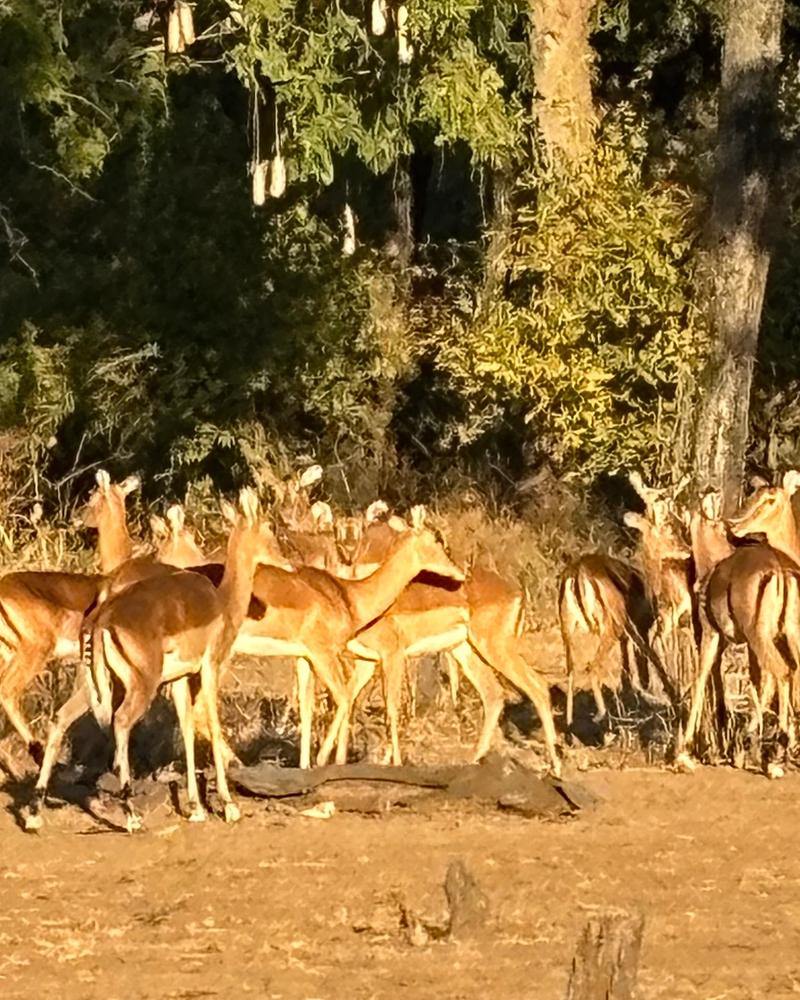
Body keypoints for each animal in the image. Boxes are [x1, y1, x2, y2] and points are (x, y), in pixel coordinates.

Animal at [676, 471, 800, 777]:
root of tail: (781, 571)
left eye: (770, 499)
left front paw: (684, 754)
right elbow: (757, 684)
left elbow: (701, 678)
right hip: (787, 635)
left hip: (761, 637)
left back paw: (777, 755)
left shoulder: (711, 634)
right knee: (788, 673)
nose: (736, 524)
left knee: (783, 672)